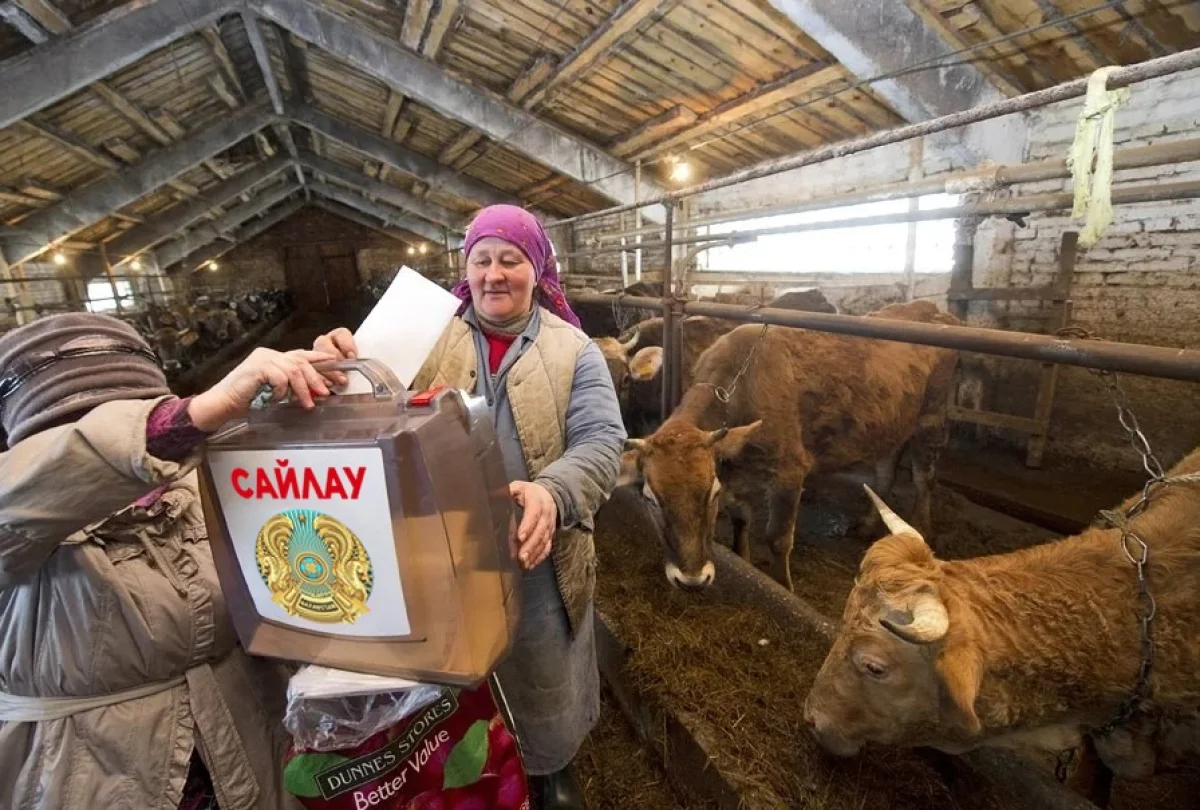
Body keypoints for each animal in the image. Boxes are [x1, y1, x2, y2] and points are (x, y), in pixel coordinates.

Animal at [614, 301, 960, 592]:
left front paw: (783, 585)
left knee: (922, 478)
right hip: (893, 420)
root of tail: (932, 309)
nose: (692, 581)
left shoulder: (789, 472)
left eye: (711, 493)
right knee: (886, 470)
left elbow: (778, 539)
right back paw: (867, 524)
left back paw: (922, 529)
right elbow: (741, 519)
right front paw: (746, 561)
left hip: (932, 415)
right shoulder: (736, 471)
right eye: (650, 497)